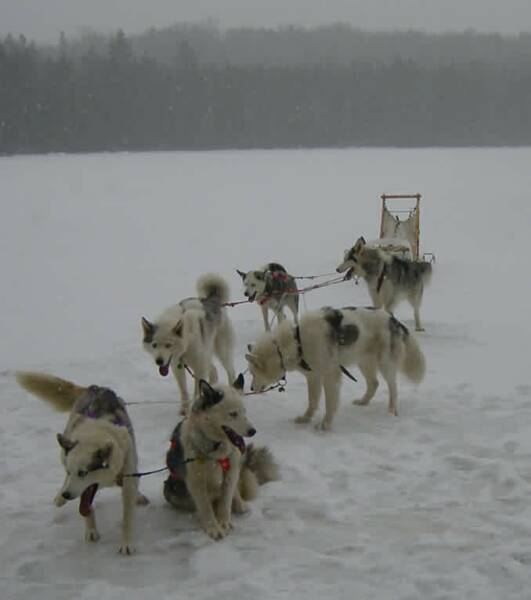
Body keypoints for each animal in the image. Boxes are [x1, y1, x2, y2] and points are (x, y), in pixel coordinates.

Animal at [15, 372, 149, 556]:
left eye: (83, 473)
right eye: (71, 472)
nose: (67, 495)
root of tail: (95, 387)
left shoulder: (128, 477)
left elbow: (127, 515)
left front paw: (126, 542)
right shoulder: (77, 484)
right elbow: (87, 507)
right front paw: (91, 529)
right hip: (64, 449)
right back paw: (60, 496)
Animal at [143, 274, 239, 414]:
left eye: (168, 345)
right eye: (154, 345)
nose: (159, 361)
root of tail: (211, 299)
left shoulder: (199, 367)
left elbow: (197, 390)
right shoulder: (177, 366)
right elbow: (183, 390)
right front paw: (184, 409)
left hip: (221, 352)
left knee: (230, 371)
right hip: (205, 355)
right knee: (213, 370)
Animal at [162, 376, 278, 540]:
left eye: (244, 412)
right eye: (233, 414)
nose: (253, 431)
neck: (215, 447)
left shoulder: (230, 472)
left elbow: (225, 501)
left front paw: (224, 522)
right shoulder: (196, 480)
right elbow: (205, 506)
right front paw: (213, 527)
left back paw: (239, 505)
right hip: (171, 490)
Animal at [247, 308, 426, 428]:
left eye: (253, 373)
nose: (251, 388)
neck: (296, 341)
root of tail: (394, 320)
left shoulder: (329, 376)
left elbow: (329, 403)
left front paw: (325, 424)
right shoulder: (313, 377)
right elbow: (312, 401)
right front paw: (306, 418)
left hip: (385, 364)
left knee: (393, 388)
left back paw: (391, 411)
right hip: (364, 361)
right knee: (374, 383)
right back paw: (363, 401)